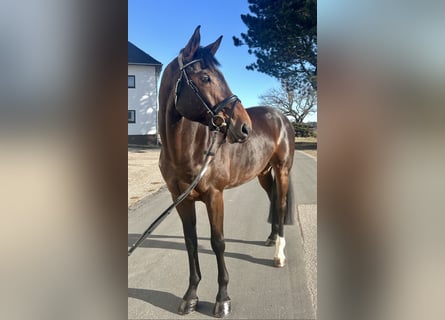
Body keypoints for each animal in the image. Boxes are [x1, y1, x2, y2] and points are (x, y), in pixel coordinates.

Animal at [157, 26, 294, 316]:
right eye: (205, 77)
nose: (244, 127)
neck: (189, 149)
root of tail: (281, 117)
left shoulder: (214, 196)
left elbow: (217, 242)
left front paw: (222, 300)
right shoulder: (180, 199)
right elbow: (190, 241)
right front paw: (190, 296)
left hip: (282, 170)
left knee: (280, 204)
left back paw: (278, 254)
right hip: (263, 174)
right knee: (273, 198)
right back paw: (271, 238)